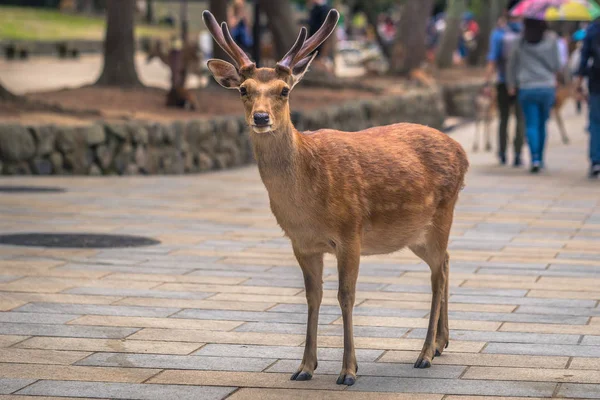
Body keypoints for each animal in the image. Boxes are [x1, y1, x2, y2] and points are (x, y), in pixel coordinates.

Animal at [204, 8, 472, 384]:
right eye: (243, 89)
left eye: (284, 90)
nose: (260, 117)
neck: (307, 205)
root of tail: (462, 152)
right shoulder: (301, 243)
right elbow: (312, 297)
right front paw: (304, 367)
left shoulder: (350, 233)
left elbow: (345, 296)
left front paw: (348, 371)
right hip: (415, 234)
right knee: (447, 261)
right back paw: (440, 343)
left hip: (442, 216)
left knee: (438, 275)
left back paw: (424, 355)